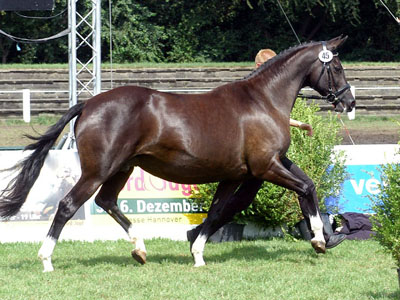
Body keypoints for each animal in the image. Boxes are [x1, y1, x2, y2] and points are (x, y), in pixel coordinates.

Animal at [0, 35, 356, 272]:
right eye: (337, 67)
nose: (349, 102)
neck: (262, 101)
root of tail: (88, 103)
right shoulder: (266, 167)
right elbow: (304, 187)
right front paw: (319, 240)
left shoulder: (242, 172)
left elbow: (219, 210)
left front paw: (197, 253)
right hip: (97, 171)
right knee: (68, 205)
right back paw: (46, 260)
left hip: (122, 168)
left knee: (107, 201)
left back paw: (140, 250)